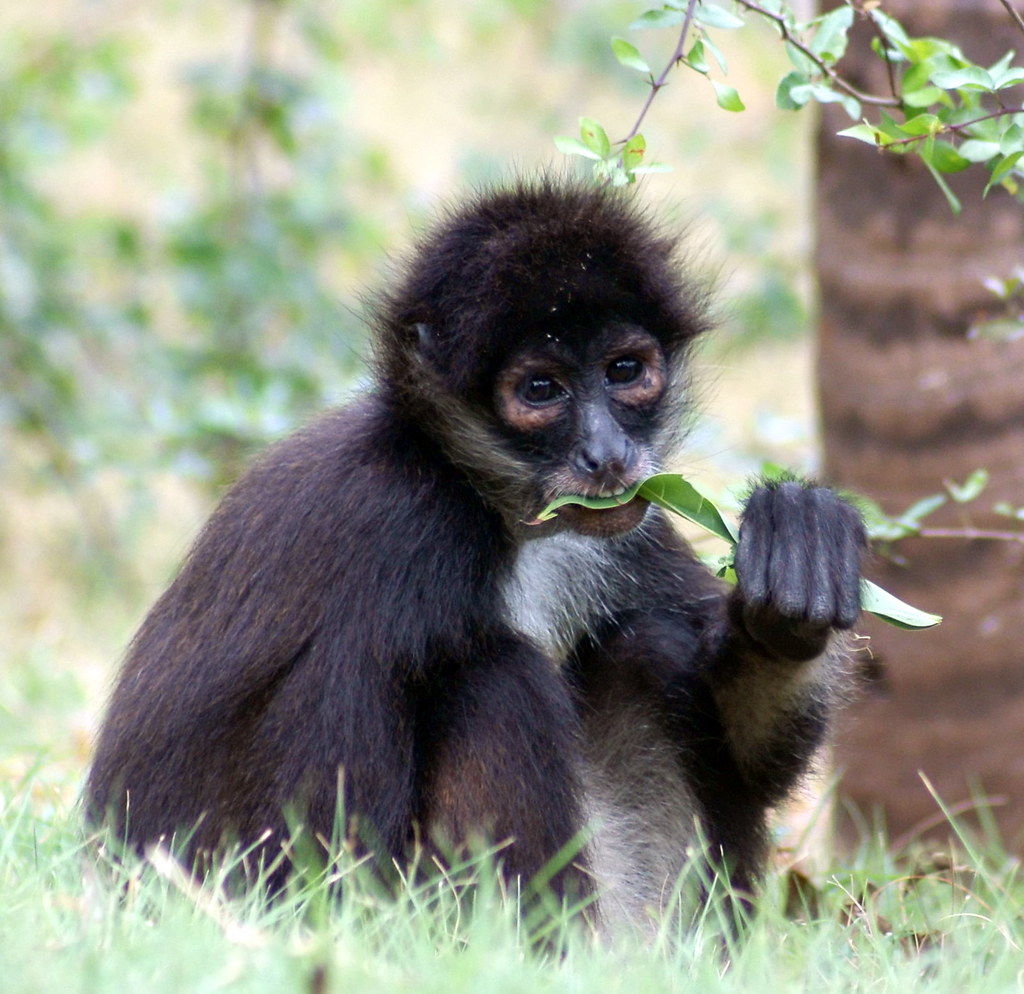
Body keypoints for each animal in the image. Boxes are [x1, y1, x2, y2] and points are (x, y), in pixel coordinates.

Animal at [85, 179, 865, 933]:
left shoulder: (627, 521)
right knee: (498, 679)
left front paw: (793, 580)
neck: (488, 503)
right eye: (541, 390)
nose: (607, 454)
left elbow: (757, 761)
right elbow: (320, 883)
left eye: (624, 371)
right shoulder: (399, 523)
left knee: (648, 648)